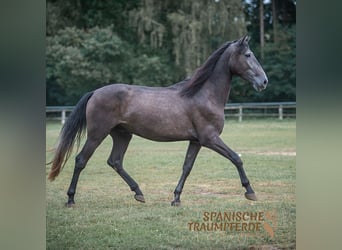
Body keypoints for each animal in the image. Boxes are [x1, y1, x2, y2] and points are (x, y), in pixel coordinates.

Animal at [47, 35, 268, 207]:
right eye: (248, 55)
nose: (264, 82)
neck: (203, 94)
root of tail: (94, 92)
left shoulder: (196, 141)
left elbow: (187, 167)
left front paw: (176, 198)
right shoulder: (210, 139)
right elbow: (236, 158)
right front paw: (250, 192)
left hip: (122, 134)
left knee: (115, 161)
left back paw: (139, 193)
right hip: (97, 134)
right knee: (81, 160)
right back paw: (71, 199)